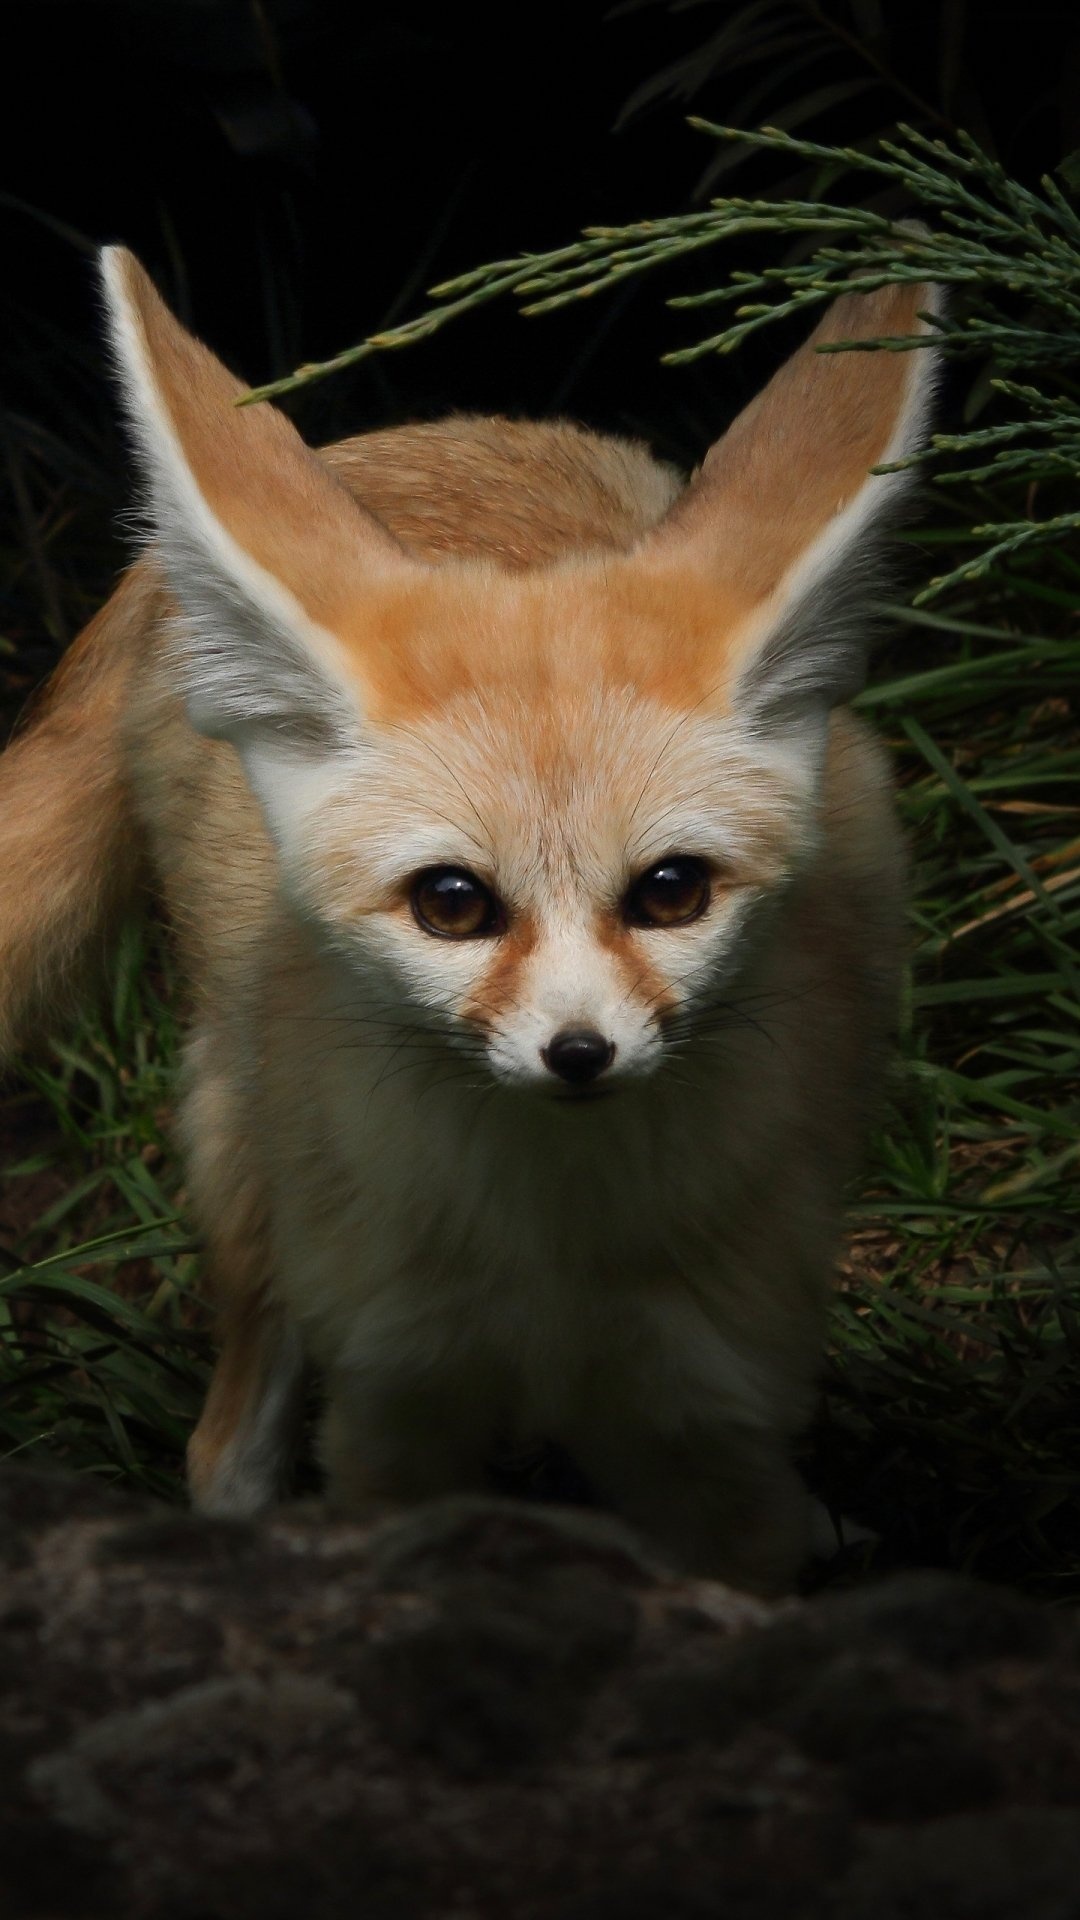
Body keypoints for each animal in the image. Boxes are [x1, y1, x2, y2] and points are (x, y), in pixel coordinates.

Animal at [0, 247, 933, 1589]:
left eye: (672, 891)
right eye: (452, 903)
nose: (579, 1053)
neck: (549, 1255)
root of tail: (419, 435)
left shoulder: (709, 1414)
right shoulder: (396, 1406)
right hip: (253, 1192)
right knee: (224, 1444)